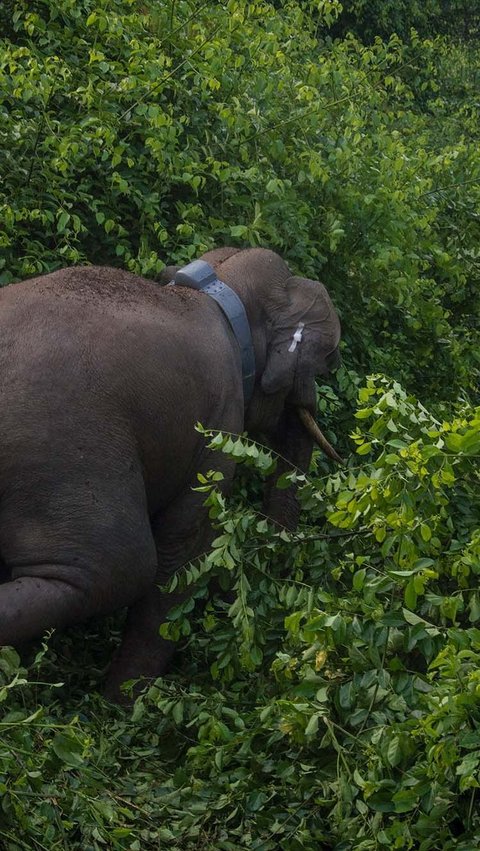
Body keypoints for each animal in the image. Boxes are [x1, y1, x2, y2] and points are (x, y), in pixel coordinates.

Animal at [0, 246, 342, 700]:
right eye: (327, 362)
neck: (213, 286)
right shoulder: (217, 425)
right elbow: (183, 546)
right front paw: (123, 703)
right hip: (60, 456)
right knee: (118, 567)